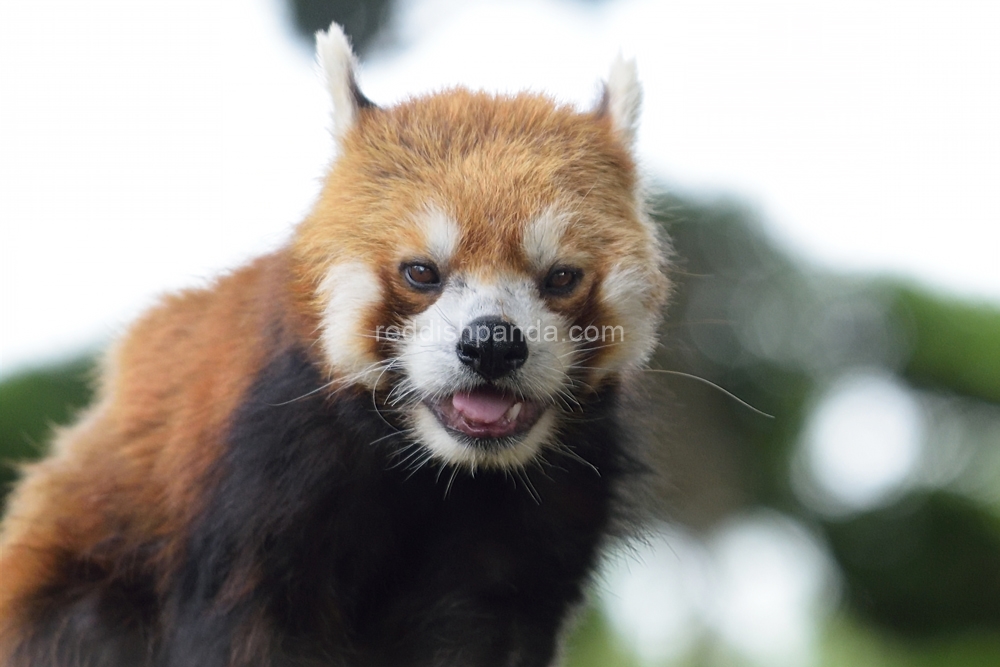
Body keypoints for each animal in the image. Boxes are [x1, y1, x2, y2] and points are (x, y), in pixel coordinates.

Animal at [1, 22, 672, 667]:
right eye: (421, 272)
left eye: (560, 277)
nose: (491, 345)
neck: (442, 471)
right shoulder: (257, 477)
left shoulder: (542, 519)